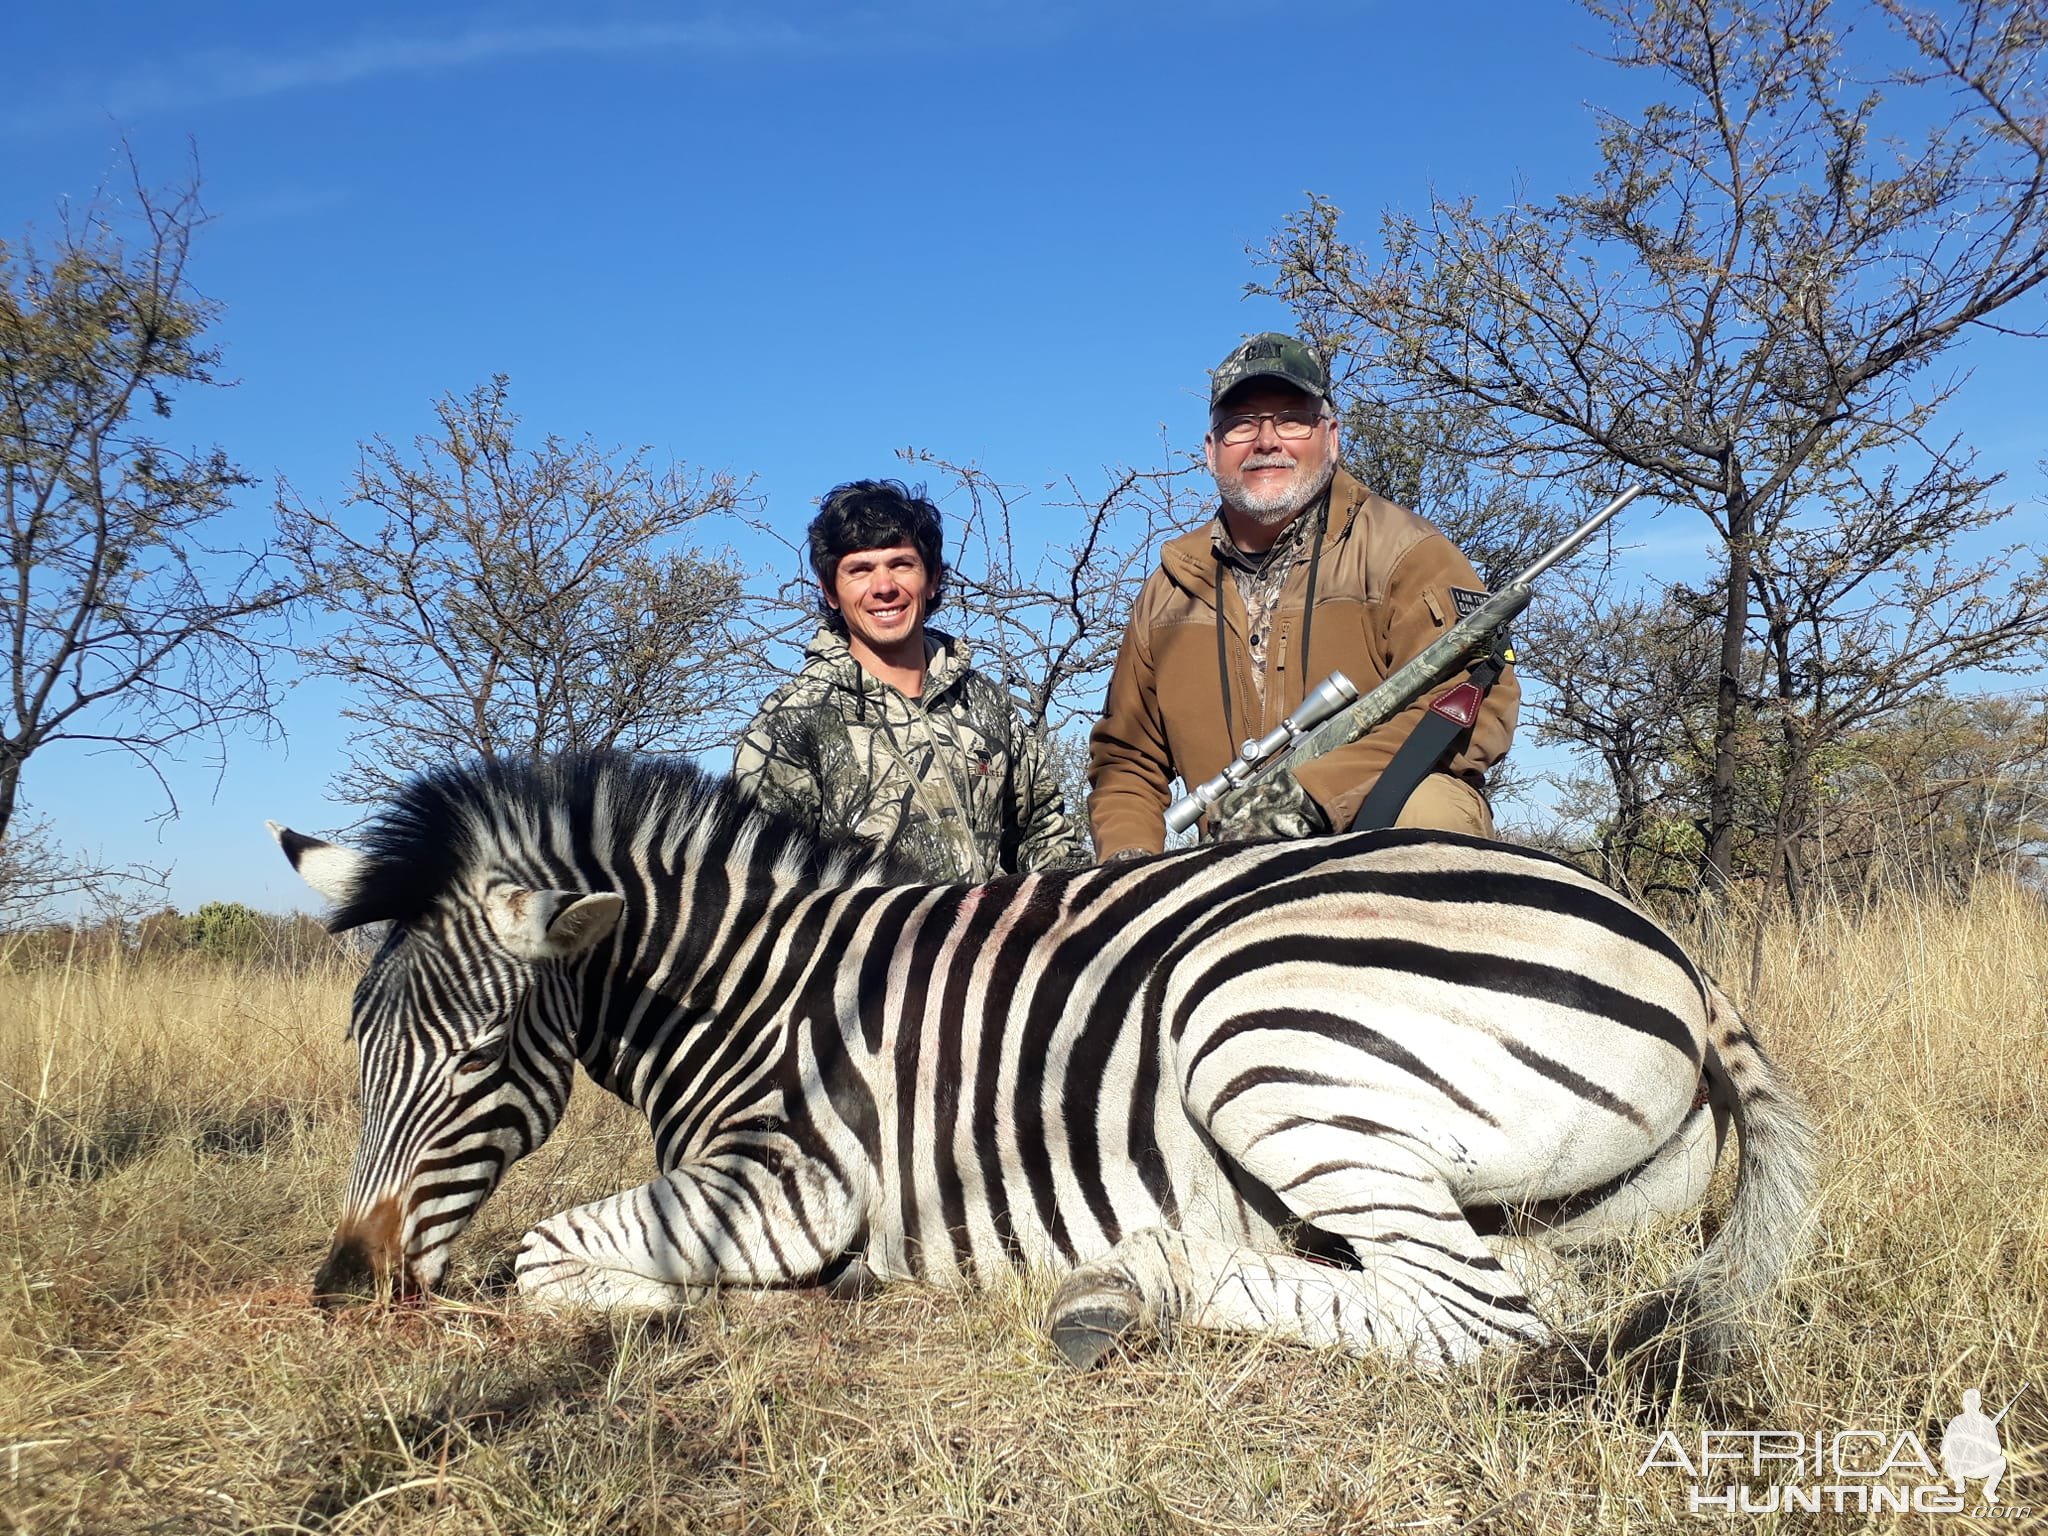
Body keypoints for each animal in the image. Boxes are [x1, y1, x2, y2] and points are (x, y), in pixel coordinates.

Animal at [268, 753, 1810, 1376]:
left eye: (480, 1053)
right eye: (359, 1046)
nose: (343, 1286)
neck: (752, 987)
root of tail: (1683, 963)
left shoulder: (792, 1182)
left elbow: (546, 1257)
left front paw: (691, 1302)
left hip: (1260, 1037)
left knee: (1485, 1320)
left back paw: (1133, 1283)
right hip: (1559, 1202)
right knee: (1539, 1284)